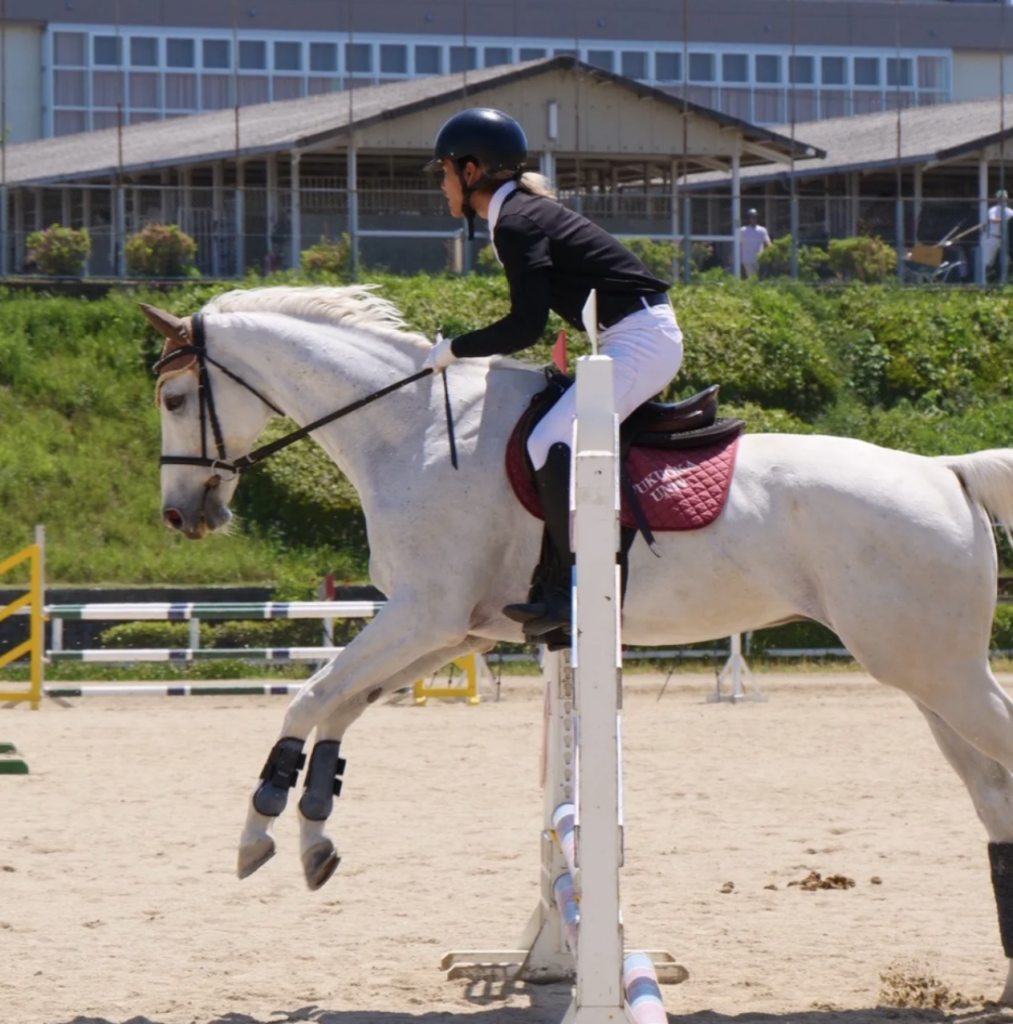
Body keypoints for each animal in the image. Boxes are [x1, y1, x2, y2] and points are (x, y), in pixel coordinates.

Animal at [144, 285, 1013, 1002]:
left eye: (176, 396)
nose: (183, 515)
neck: (409, 431)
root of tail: (947, 470)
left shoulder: (422, 614)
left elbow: (310, 696)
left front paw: (258, 831)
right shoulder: (448, 627)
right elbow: (341, 707)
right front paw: (316, 835)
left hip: (939, 672)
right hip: (926, 679)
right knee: (991, 794)